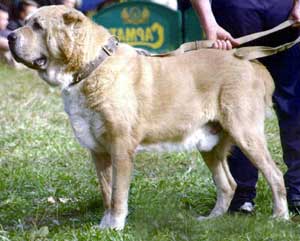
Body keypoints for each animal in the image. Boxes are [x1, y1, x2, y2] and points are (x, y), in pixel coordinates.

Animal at [8, 4, 288, 229]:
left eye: (37, 26)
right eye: (26, 22)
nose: (9, 35)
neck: (90, 67)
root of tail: (252, 62)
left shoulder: (121, 147)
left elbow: (118, 193)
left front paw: (115, 226)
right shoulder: (98, 151)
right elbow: (106, 191)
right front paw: (104, 224)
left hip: (246, 133)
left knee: (274, 174)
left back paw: (280, 217)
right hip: (210, 144)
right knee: (228, 184)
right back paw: (212, 219)